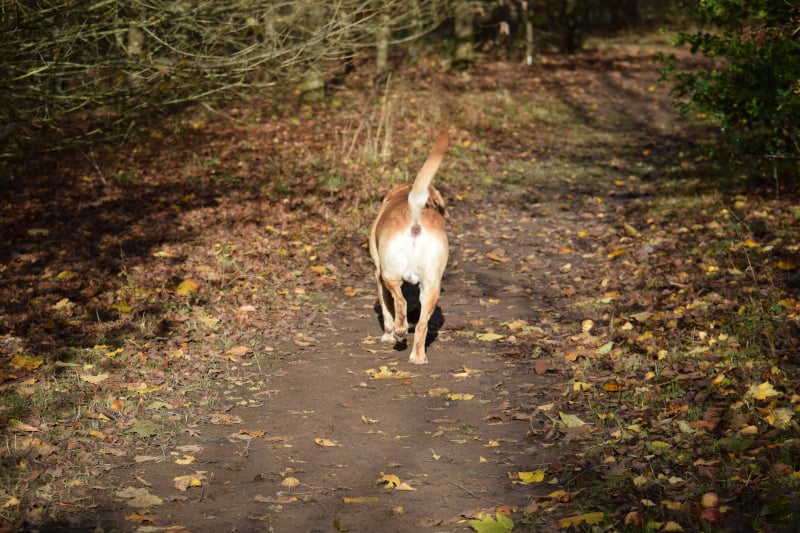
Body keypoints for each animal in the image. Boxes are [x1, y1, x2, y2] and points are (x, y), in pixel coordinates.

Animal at [368, 133, 450, 366]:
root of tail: (415, 211)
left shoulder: (378, 275)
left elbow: (387, 308)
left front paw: (388, 334)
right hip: (431, 286)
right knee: (422, 325)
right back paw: (418, 357)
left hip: (389, 274)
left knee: (400, 301)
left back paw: (399, 331)